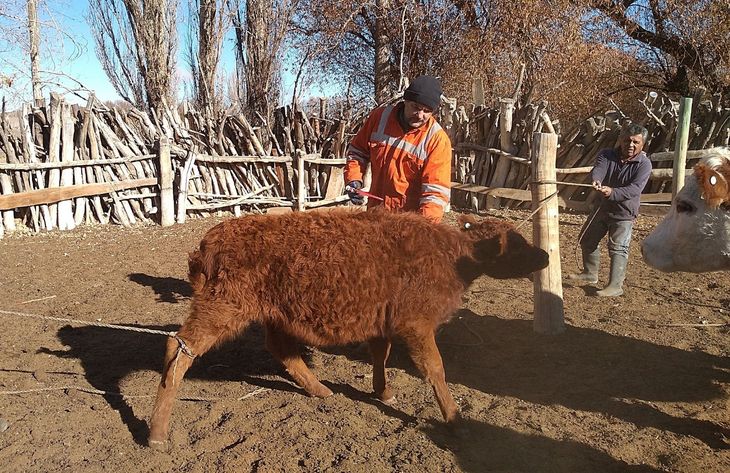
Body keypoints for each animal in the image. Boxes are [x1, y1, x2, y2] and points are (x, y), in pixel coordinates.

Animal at [147, 209, 549, 449]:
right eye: (516, 244)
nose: (545, 255)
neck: (451, 257)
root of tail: (210, 240)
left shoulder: (384, 321)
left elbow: (381, 354)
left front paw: (383, 392)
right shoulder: (417, 325)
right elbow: (435, 369)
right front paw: (454, 420)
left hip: (271, 314)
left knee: (282, 351)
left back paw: (320, 389)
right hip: (221, 308)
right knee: (178, 348)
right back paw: (157, 434)